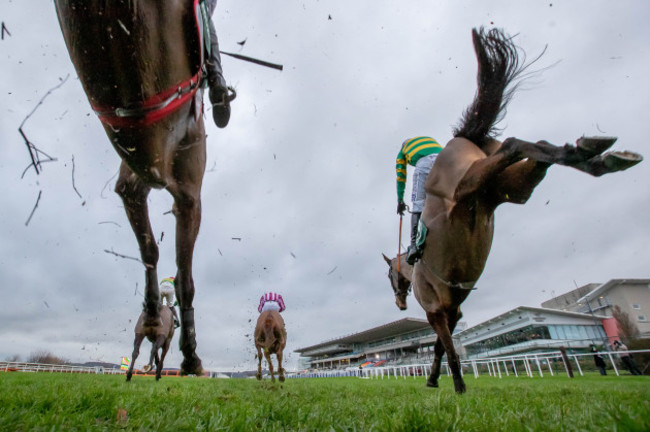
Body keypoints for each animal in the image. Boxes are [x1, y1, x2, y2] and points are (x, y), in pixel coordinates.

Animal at [55, 0, 210, 372]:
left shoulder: (139, 173)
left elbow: (150, 249)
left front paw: (153, 312)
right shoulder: (188, 191)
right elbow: (183, 277)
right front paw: (189, 353)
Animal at [382, 25, 640, 394]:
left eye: (390, 277)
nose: (400, 303)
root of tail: (462, 137)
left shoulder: (436, 310)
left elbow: (446, 347)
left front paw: (456, 386)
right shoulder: (452, 311)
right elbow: (441, 347)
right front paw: (435, 379)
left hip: (468, 185)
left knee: (512, 144)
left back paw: (595, 153)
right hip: (510, 188)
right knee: (537, 149)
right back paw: (596, 154)